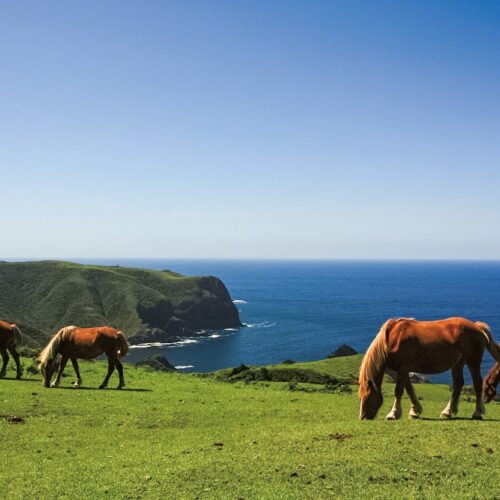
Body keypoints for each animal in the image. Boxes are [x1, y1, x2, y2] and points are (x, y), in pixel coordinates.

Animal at [360, 318, 500, 420]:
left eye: (367, 395)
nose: (363, 417)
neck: (392, 339)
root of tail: (477, 327)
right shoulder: (401, 371)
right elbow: (409, 389)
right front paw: (415, 411)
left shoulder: (403, 368)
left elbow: (399, 391)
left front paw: (393, 413)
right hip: (458, 362)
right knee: (458, 384)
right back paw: (447, 412)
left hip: (473, 361)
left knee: (477, 384)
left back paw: (477, 413)